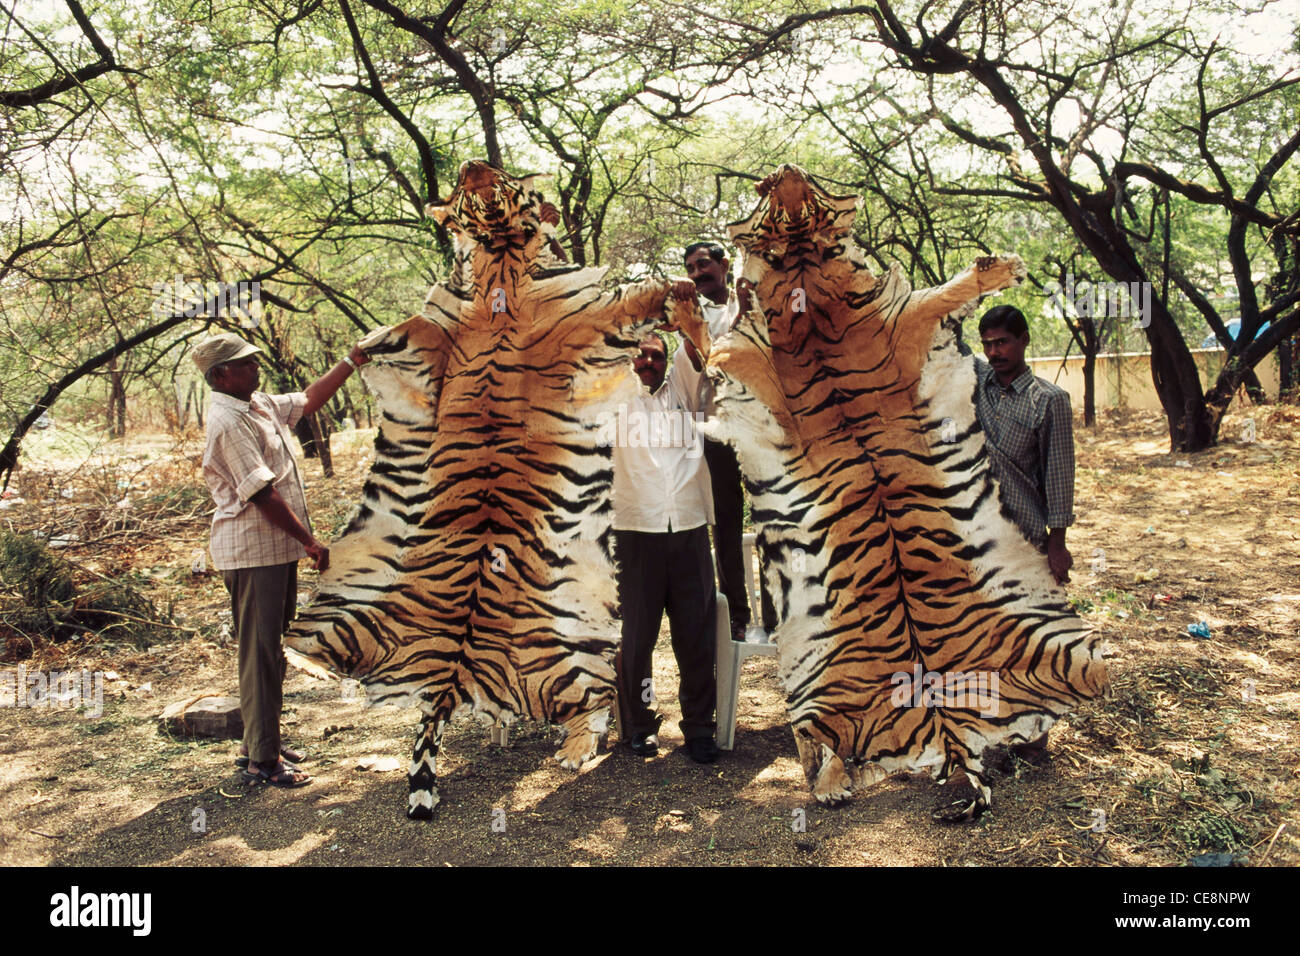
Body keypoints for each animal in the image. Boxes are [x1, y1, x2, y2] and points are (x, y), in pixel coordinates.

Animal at [285, 160, 700, 819]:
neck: (501, 262)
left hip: (532, 653)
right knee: (584, 709)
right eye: (463, 187)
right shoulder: (449, 335)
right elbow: (394, 333)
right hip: (508, 652)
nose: (471, 165)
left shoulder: (564, 325)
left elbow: (642, 298)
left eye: (500, 174)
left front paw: (683, 290)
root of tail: (452, 672)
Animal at [673, 164, 1109, 820]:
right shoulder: (751, 359)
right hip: (822, 695)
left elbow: (955, 288)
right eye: (769, 194)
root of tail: (947, 731)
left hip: (1054, 654)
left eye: (807, 188)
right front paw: (678, 299)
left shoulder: (908, 324)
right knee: (821, 745)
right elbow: (706, 338)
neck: (808, 278)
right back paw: (832, 788)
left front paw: (1002, 267)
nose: (787, 171)